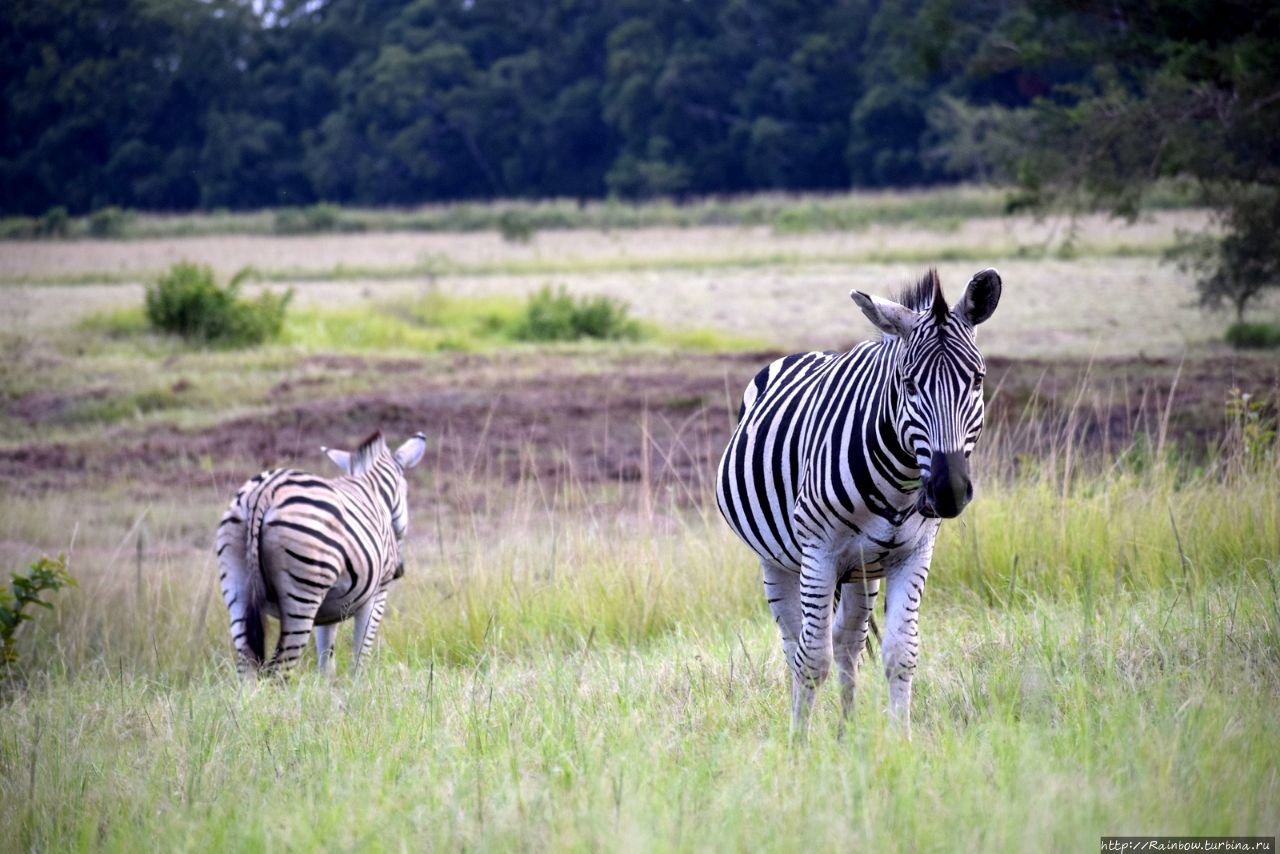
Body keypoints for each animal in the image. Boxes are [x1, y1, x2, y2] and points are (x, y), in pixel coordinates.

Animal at [212, 430, 424, 676]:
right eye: (405, 490)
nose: (400, 570)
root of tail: (263, 492)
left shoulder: (329, 608)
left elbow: (326, 659)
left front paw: (326, 685)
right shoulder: (377, 595)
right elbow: (360, 655)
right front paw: (359, 683)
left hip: (237, 586)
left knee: (247, 666)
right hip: (302, 595)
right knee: (279, 670)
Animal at [721, 268, 998, 737]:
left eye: (977, 379)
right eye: (908, 383)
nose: (949, 491)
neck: (898, 483)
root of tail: (807, 352)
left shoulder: (914, 554)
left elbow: (901, 653)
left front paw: (900, 741)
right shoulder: (819, 553)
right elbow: (812, 660)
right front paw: (799, 744)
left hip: (862, 570)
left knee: (847, 641)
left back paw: (846, 733)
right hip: (778, 563)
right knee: (795, 645)